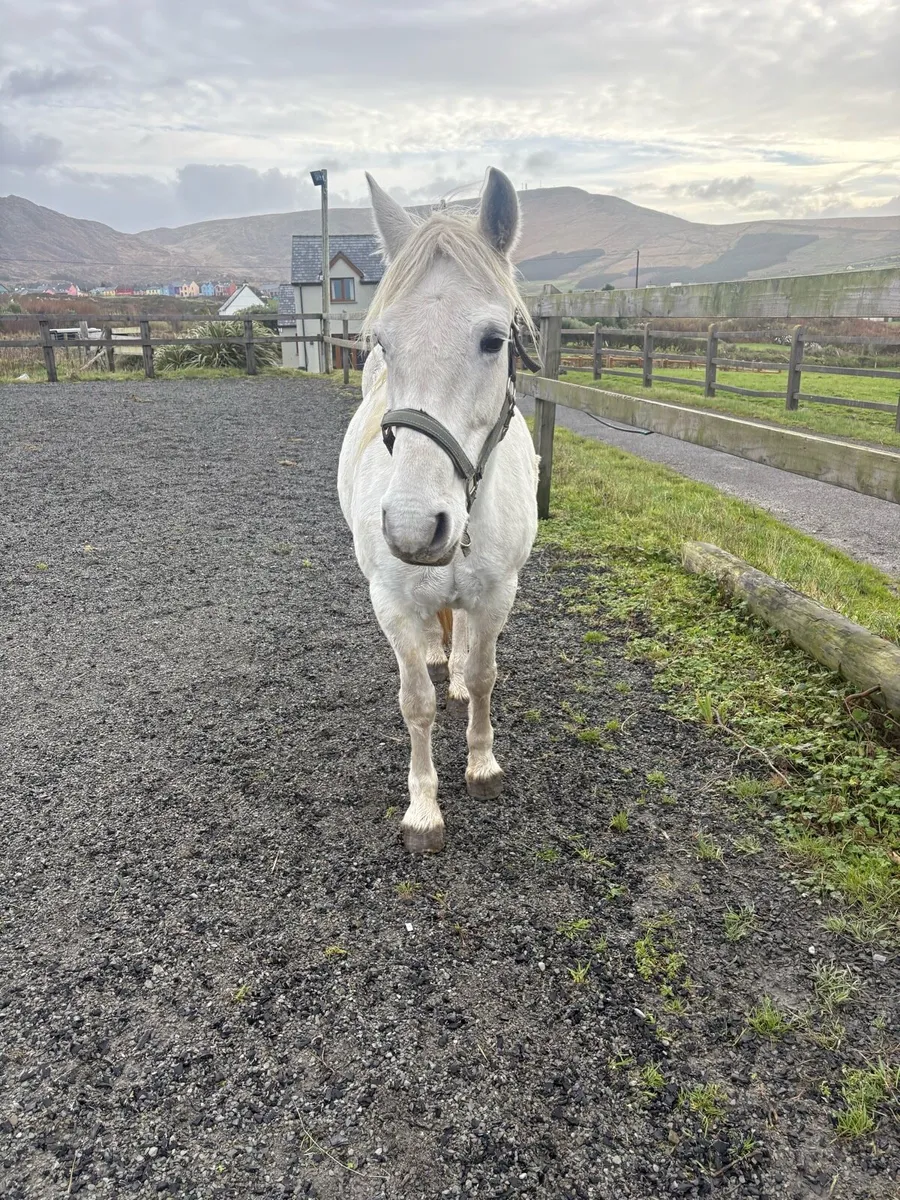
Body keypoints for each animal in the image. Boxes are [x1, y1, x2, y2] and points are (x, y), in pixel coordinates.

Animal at [337, 167, 539, 853]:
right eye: (382, 343)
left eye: (494, 340)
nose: (412, 527)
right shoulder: (393, 605)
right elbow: (415, 703)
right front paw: (423, 808)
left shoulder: (497, 594)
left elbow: (481, 675)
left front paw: (482, 765)